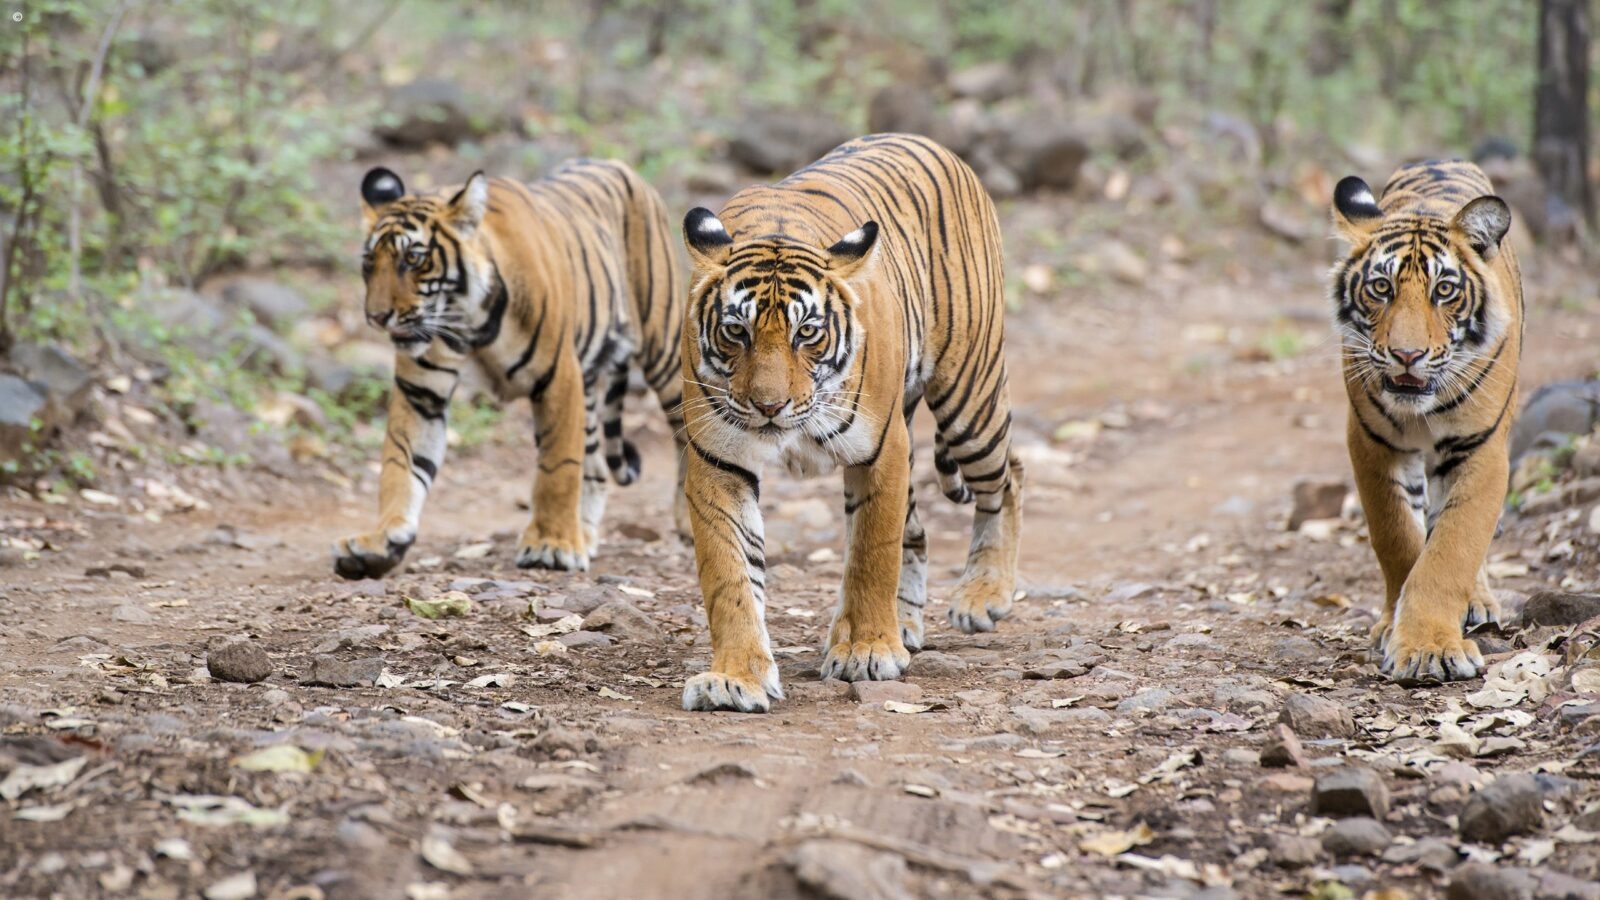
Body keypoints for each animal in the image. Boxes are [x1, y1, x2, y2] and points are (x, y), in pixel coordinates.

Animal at [332, 160, 689, 580]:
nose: (376, 317)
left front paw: (551, 545)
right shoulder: (421, 392)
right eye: (369, 263)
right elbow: (401, 463)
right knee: (597, 465)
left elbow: (557, 468)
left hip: (664, 349)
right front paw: (380, 542)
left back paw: (684, 523)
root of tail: (619, 165)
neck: (468, 323)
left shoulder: (558, 377)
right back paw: (584, 535)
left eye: (413, 260)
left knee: (687, 434)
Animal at [677, 133, 1024, 712]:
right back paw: (905, 624)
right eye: (736, 331)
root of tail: (929, 142)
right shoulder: (717, 461)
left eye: (807, 332)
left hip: (968, 399)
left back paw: (983, 596)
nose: (768, 406)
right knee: (918, 530)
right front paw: (735, 678)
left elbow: (871, 553)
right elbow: (730, 576)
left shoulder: (880, 450)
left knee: (1008, 476)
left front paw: (867, 650)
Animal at [1330, 159, 1521, 683]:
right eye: (1381, 288)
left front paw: (1430, 648)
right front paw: (1398, 631)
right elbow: (1397, 537)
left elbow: (1452, 548)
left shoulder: (1480, 449)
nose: (1407, 355)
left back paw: (1478, 602)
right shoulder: (1370, 443)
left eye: (1444, 290)